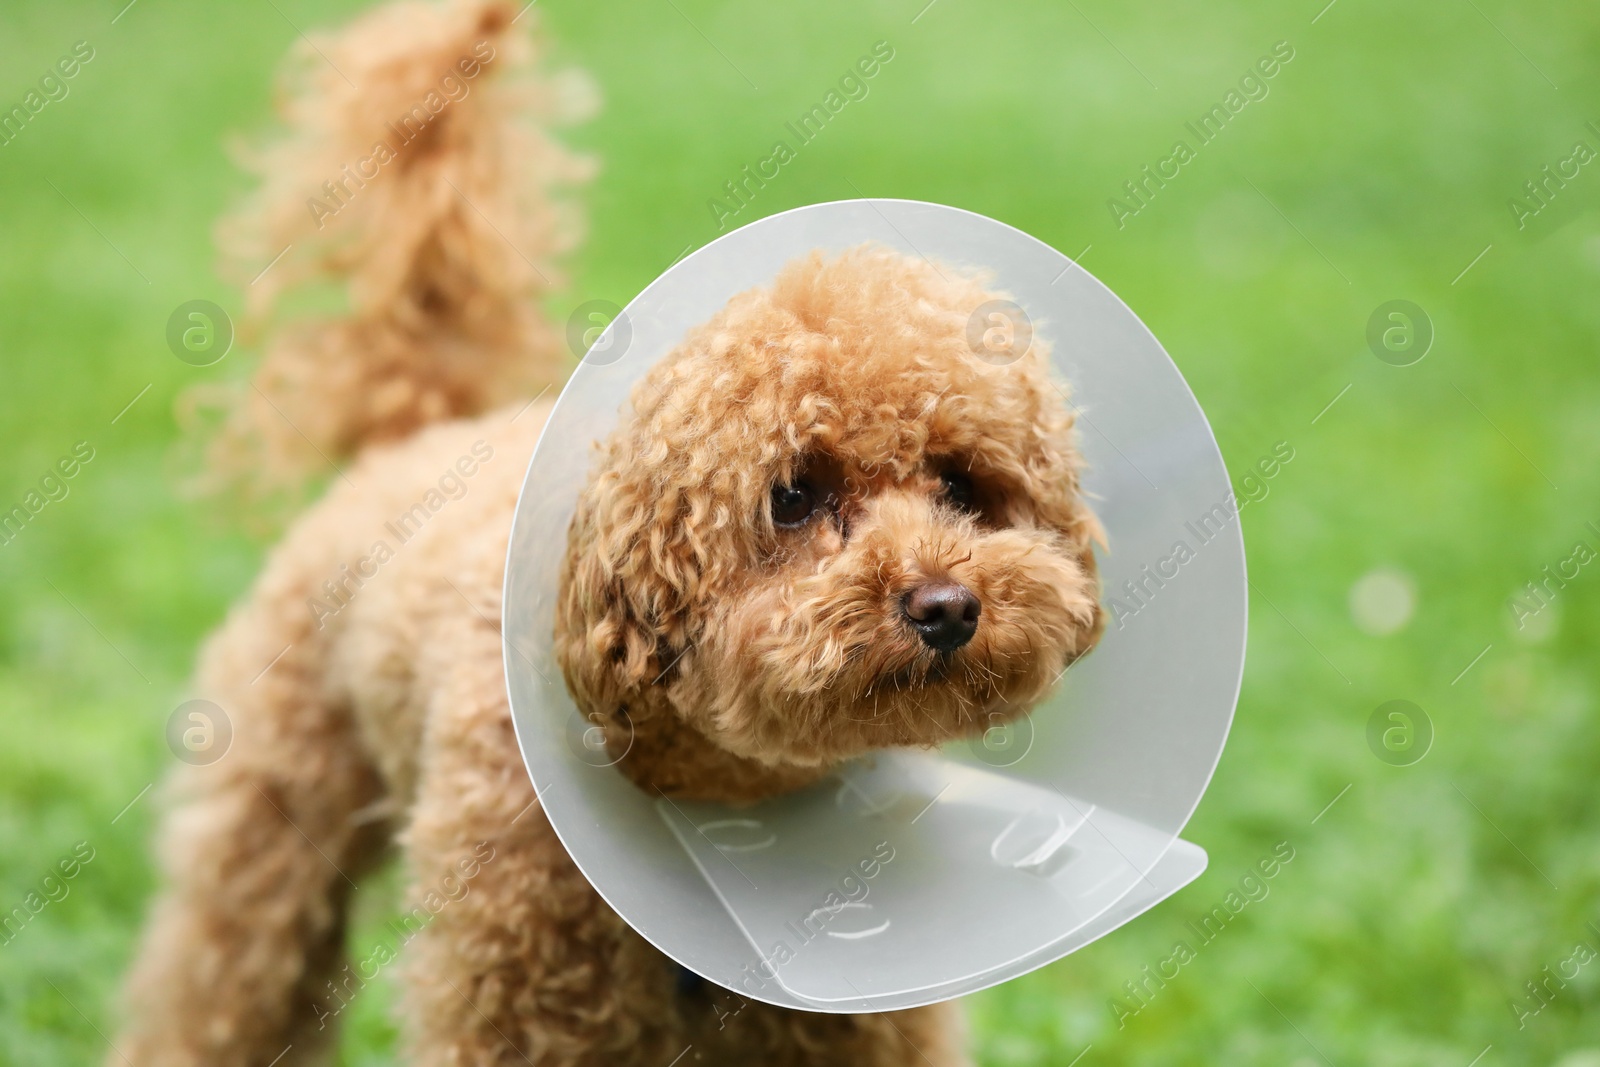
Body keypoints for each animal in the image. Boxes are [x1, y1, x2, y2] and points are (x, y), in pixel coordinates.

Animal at [116, 2, 1100, 1062]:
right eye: (793, 495)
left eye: (962, 483)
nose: (948, 605)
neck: (714, 795)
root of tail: (420, 430)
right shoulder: (507, 999)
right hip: (273, 813)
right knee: (218, 988)